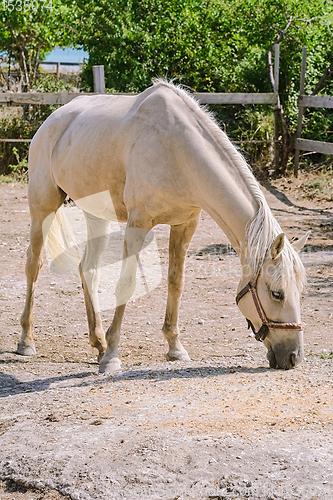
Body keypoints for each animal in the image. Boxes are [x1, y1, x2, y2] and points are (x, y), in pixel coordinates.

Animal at [18, 80, 308, 374]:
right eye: (277, 293)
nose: (293, 356)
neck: (178, 150)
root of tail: (53, 119)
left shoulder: (185, 224)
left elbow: (175, 282)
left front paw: (174, 348)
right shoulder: (138, 224)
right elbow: (127, 284)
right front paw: (112, 356)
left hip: (96, 214)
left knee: (88, 269)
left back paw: (97, 343)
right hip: (43, 207)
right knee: (33, 265)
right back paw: (27, 341)